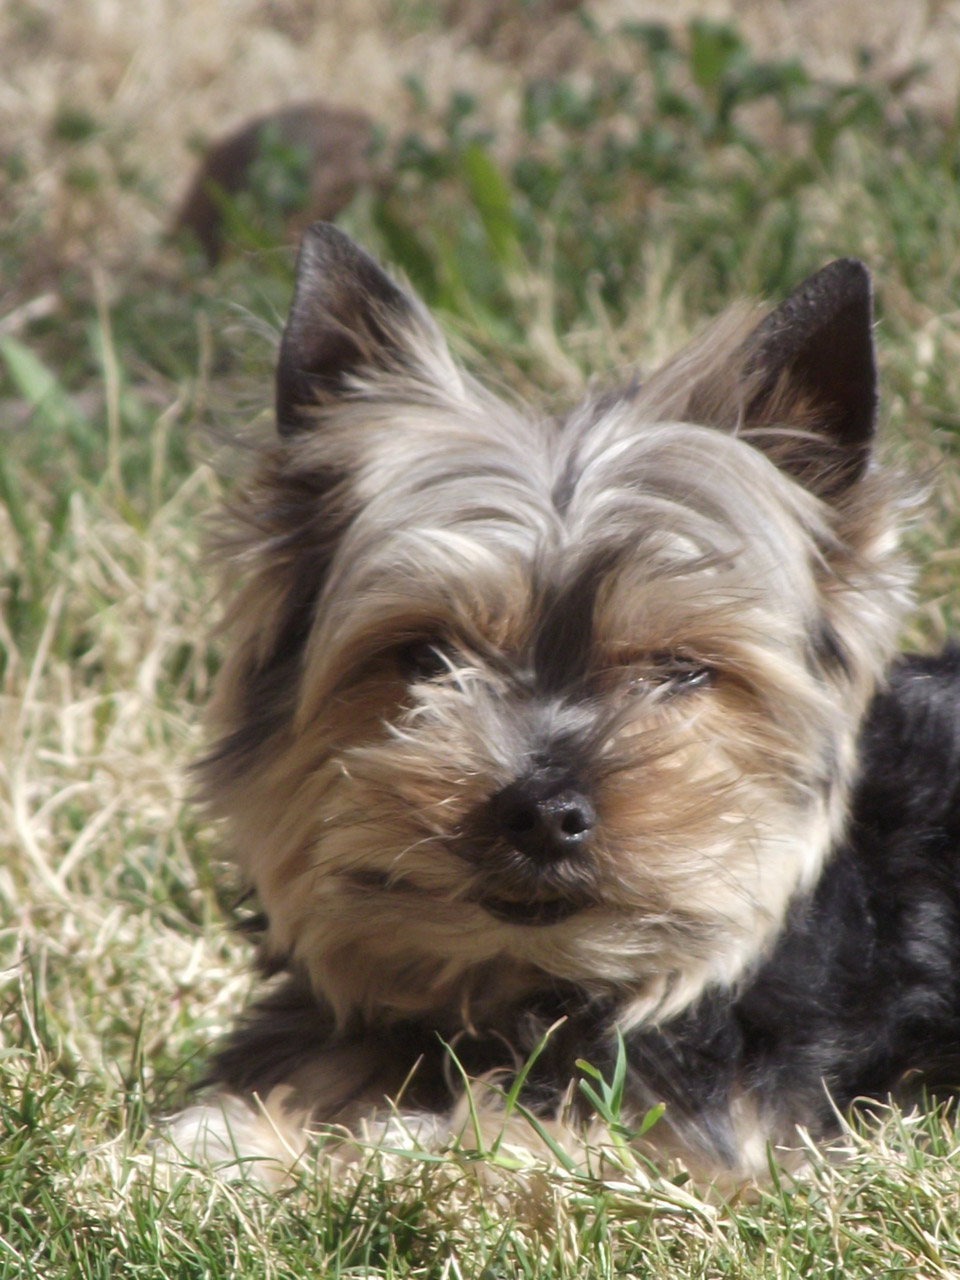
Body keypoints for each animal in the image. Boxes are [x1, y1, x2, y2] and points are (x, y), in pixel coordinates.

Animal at [168, 222, 960, 1187]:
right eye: (425, 656)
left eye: (680, 670)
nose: (542, 811)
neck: (529, 989)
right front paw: (228, 1144)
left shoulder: (716, 1119)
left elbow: (546, 1136)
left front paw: (406, 1144)